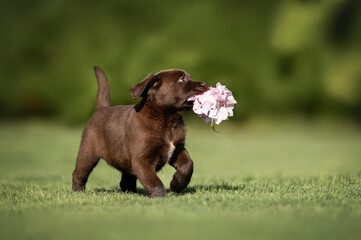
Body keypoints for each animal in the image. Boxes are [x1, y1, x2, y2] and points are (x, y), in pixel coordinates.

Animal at [71, 67, 207, 197]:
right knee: (79, 173)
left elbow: (188, 165)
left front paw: (176, 185)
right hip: (87, 153)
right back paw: (78, 191)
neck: (167, 121)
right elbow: (153, 181)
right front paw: (161, 196)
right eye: (181, 79)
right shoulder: (142, 160)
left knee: (126, 180)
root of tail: (101, 109)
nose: (205, 84)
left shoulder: (177, 149)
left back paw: (131, 192)